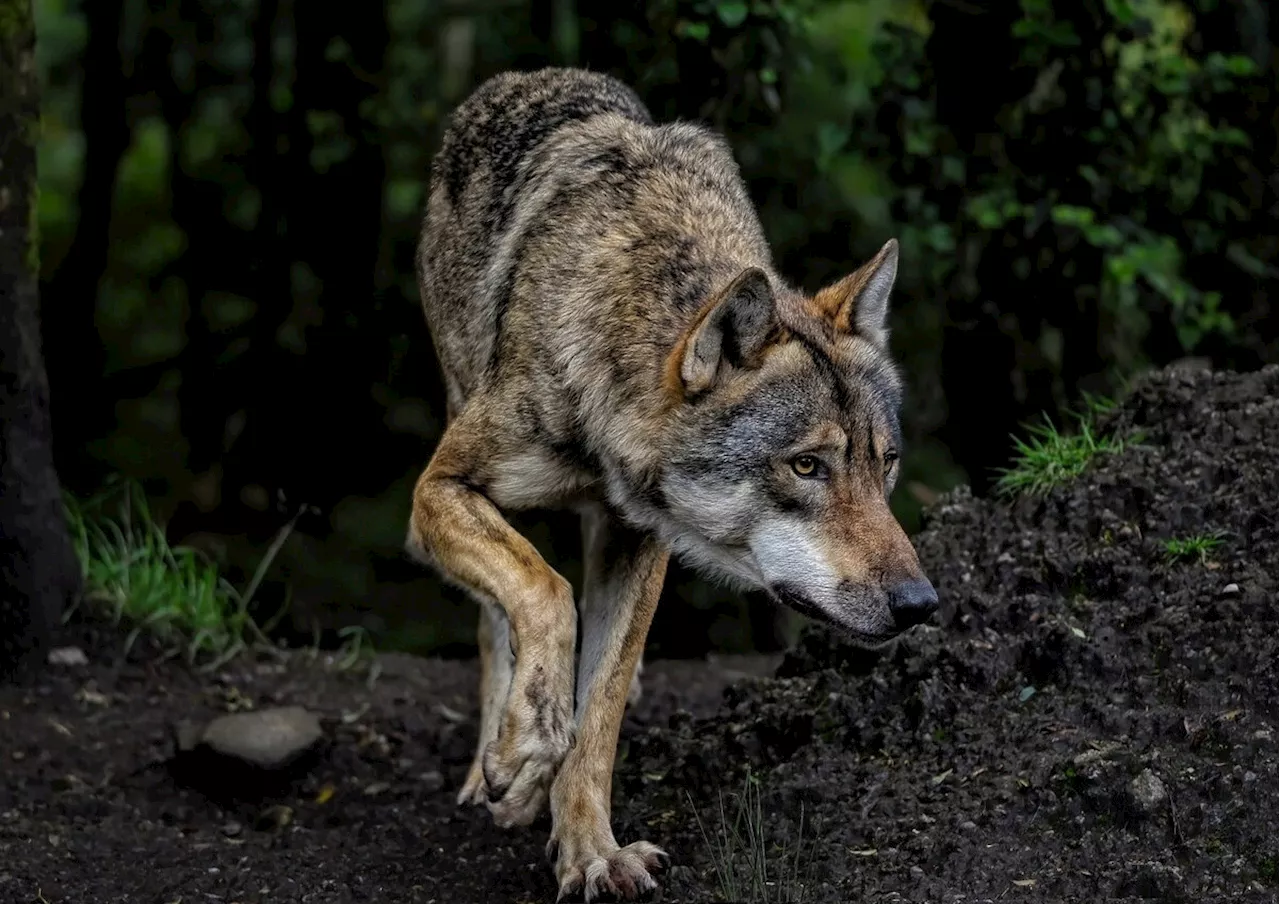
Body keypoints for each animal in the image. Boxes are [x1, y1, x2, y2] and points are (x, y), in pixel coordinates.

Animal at [409, 66, 942, 896]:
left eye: (882, 463)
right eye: (806, 465)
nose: (921, 605)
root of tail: (523, 78)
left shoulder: (639, 541)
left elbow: (600, 709)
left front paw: (591, 853)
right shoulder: (438, 490)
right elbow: (544, 592)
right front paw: (524, 750)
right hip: (458, 415)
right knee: (496, 614)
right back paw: (495, 762)